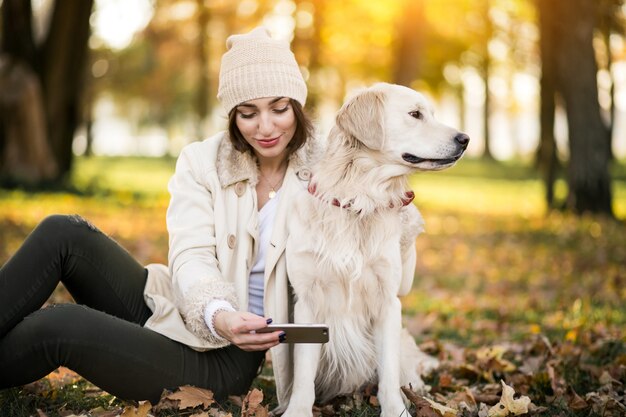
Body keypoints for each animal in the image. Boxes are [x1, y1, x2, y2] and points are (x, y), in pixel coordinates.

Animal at [282, 83, 468, 414]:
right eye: (415, 114)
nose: (466, 139)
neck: (359, 200)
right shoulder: (307, 301)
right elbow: (303, 375)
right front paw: (298, 410)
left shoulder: (388, 302)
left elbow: (389, 373)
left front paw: (396, 410)